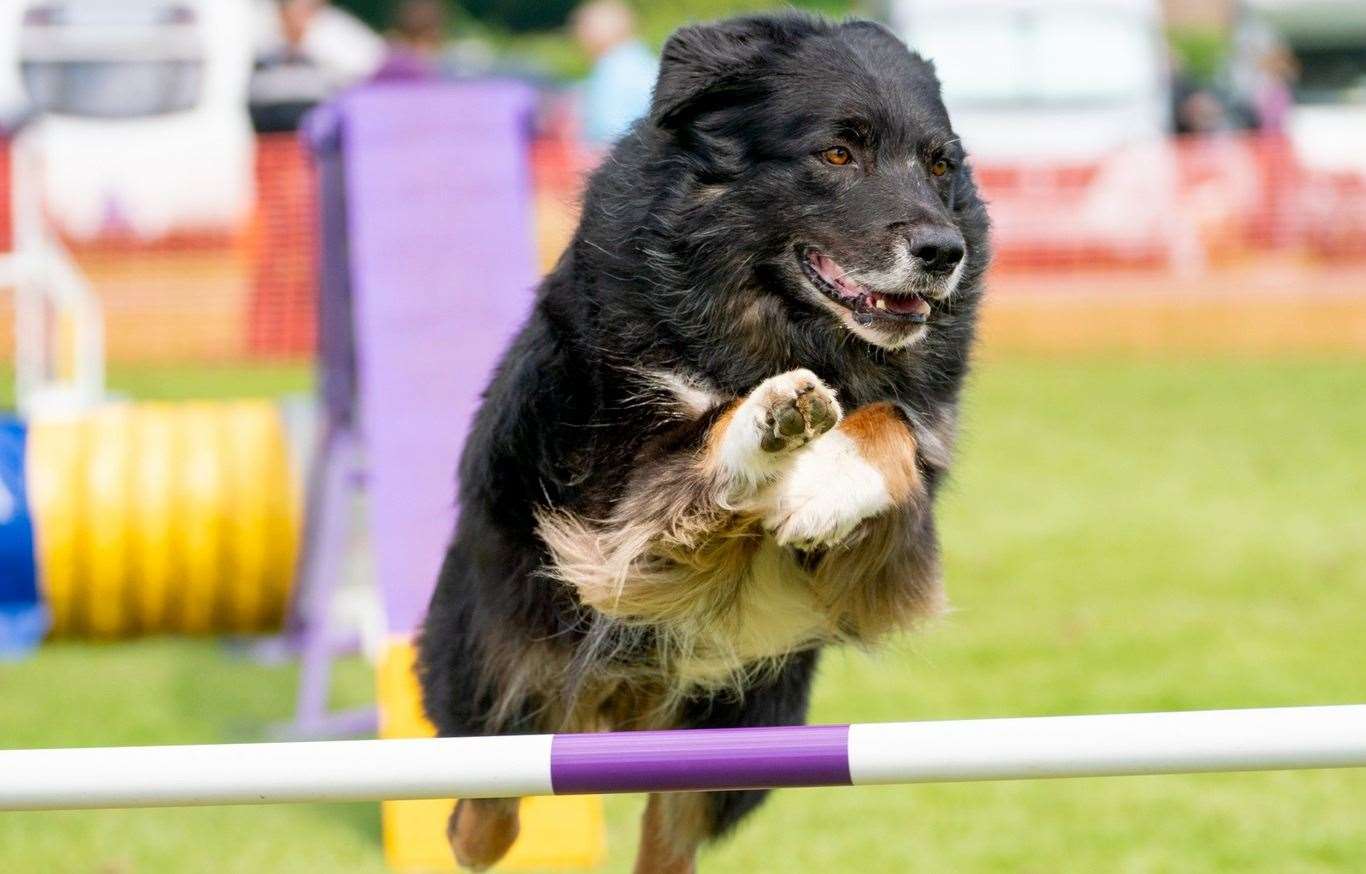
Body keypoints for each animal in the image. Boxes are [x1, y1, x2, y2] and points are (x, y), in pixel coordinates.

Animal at [415, 11, 983, 868]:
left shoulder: (880, 539)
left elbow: (892, 426)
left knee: (663, 834)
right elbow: (706, 427)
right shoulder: (605, 483)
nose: (944, 252)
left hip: (737, 728)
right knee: (480, 819)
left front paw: (827, 482)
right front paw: (768, 422)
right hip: (498, 686)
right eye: (837, 153)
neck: (772, 317)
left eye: (940, 163)